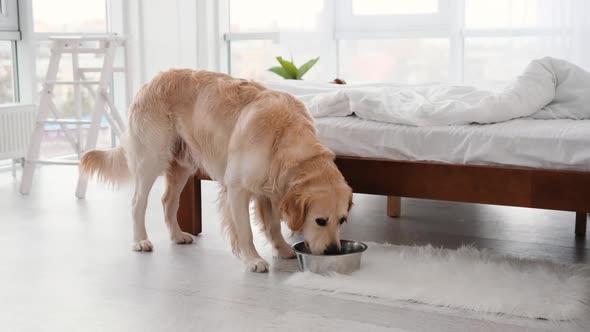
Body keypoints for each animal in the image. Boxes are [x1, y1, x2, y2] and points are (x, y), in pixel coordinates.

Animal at [81, 69, 354, 272]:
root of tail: (151, 81)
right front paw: (253, 260)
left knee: (168, 201)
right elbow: (245, 231)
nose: (333, 251)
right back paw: (140, 240)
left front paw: (284, 249)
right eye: (320, 220)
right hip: (152, 158)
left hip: (183, 164)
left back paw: (177, 235)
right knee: (138, 201)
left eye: (342, 220)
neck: (283, 138)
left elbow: (274, 225)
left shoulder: (269, 189)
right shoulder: (238, 187)